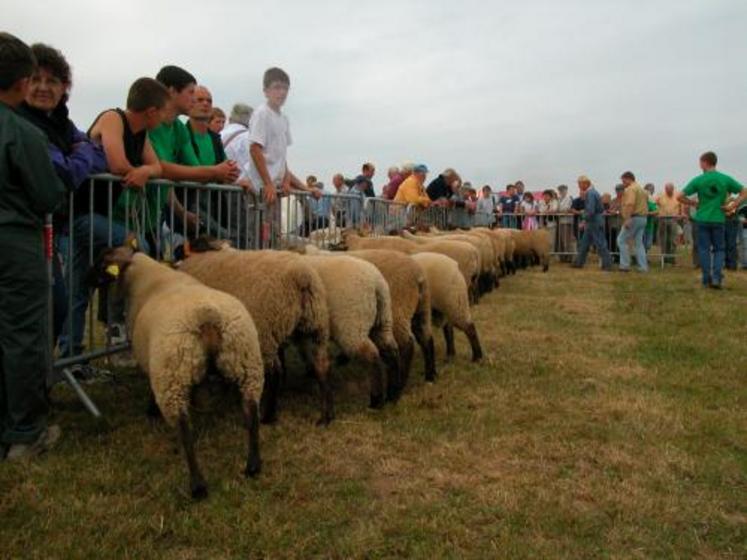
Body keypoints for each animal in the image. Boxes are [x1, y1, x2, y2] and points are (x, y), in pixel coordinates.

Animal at [92, 245, 264, 498]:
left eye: (102, 260)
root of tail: (207, 316)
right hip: (246, 362)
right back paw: (253, 465)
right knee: (251, 412)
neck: (145, 277)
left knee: (184, 429)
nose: (88, 278)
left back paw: (197, 485)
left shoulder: (154, 362)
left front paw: (150, 409)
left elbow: (149, 387)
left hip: (172, 375)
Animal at [177, 244, 332, 424]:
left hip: (265, 333)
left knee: (274, 373)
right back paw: (325, 416)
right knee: (321, 367)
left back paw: (268, 415)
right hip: (315, 327)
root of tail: (301, 276)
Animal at [300, 254, 404, 406]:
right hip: (382, 319)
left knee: (371, 355)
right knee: (391, 350)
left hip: (351, 324)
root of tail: (377, 282)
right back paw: (393, 394)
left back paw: (376, 400)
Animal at [306, 246, 438, 382]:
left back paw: (401, 380)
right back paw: (430, 375)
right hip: (422, 307)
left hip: (398, 309)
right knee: (426, 337)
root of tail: (418, 274)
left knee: (406, 345)